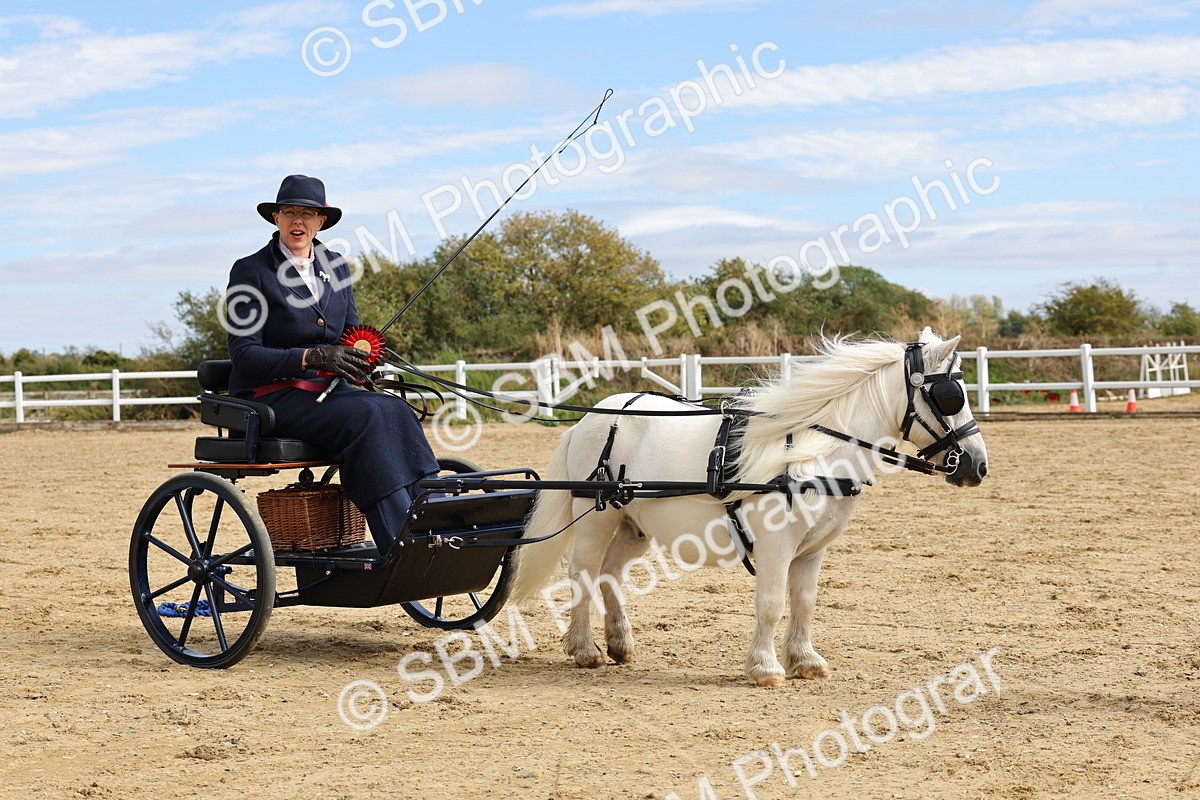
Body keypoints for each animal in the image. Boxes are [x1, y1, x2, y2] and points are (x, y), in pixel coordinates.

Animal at [509, 328, 989, 686]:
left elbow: (805, 602)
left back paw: (620, 644)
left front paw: (805, 661)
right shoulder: (777, 546)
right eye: (951, 395)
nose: (978, 466)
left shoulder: (813, 551)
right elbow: (772, 602)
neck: (816, 452)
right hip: (598, 515)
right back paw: (584, 649)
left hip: (635, 523)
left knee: (609, 572)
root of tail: (593, 416)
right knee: (583, 572)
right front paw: (765, 667)